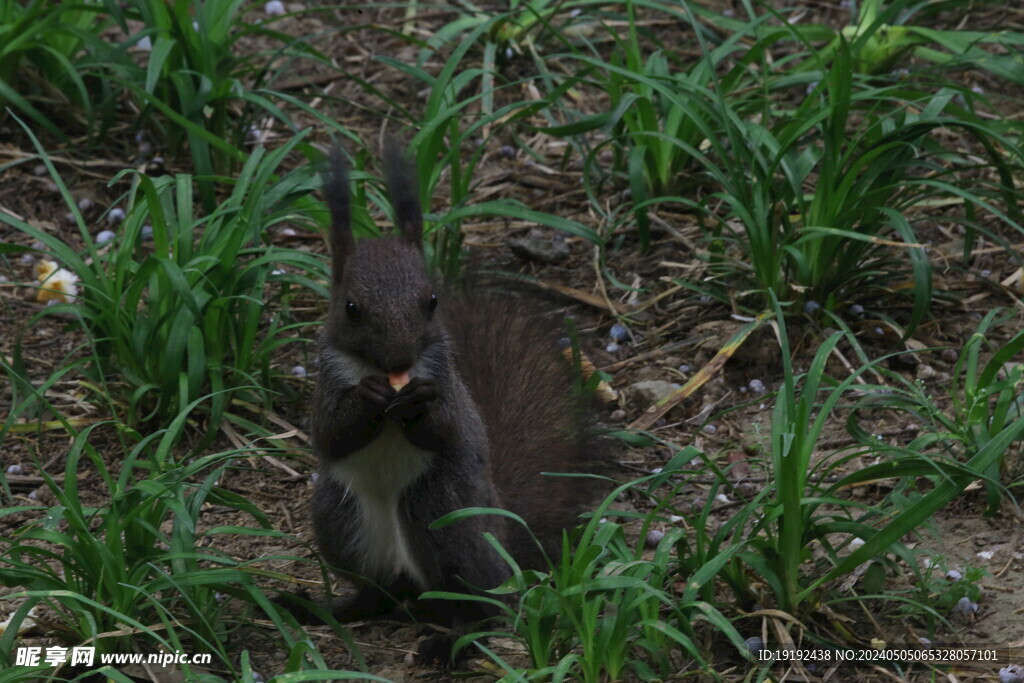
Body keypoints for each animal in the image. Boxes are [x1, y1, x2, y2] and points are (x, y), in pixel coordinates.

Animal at [307, 145, 602, 663]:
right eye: (351, 308)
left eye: (431, 300)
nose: (400, 360)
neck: (376, 372)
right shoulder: (325, 385)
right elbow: (330, 434)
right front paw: (365, 400)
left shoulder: (451, 390)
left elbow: (449, 429)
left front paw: (418, 403)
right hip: (337, 518)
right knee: (374, 592)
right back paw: (332, 607)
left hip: (444, 514)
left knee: (487, 604)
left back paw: (455, 640)